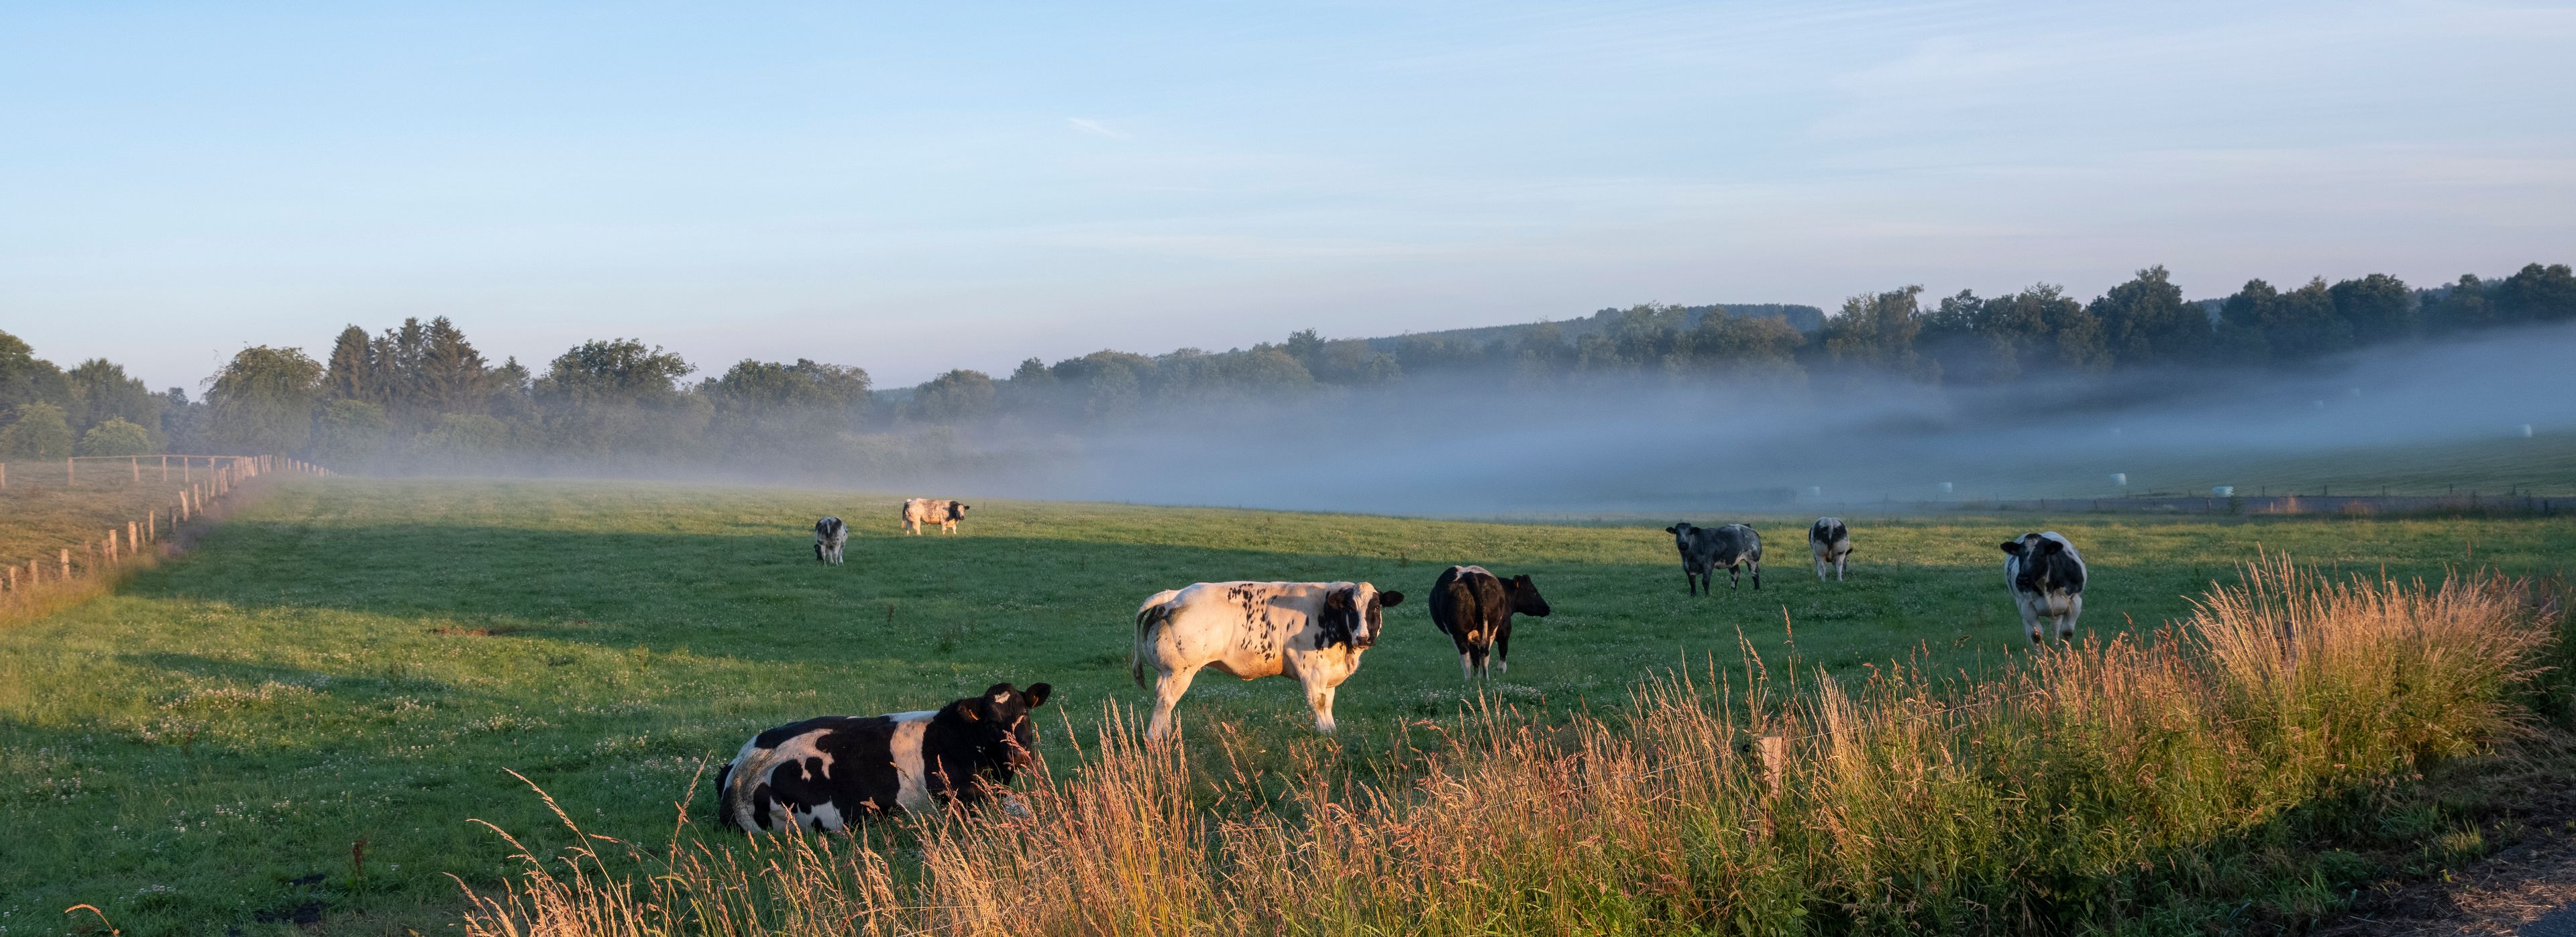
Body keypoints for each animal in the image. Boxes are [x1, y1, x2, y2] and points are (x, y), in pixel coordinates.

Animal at [715, 681, 1053, 833]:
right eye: (992, 722)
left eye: (1024, 714)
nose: (1020, 755)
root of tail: (739, 772)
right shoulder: (963, 802)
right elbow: (1022, 809)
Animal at [1131, 581, 1403, 740]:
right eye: (1350, 608)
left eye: (1376, 607)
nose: (1364, 637)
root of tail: (1174, 596)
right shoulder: (1312, 672)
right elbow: (1318, 705)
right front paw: (1326, 736)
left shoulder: (1328, 675)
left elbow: (1328, 705)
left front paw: (1333, 734)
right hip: (1181, 671)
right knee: (1166, 702)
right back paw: (1155, 740)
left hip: (1168, 671)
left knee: (1163, 701)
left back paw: (1166, 736)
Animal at [1428, 565, 1551, 680]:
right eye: (1533, 592)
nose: (1547, 608)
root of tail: (1469, 574)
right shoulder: (1505, 629)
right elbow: (1503, 649)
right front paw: (1502, 670)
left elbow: (1475, 657)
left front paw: (1477, 676)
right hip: (1481, 630)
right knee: (1479, 653)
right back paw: (1480, 679)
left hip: (1462, 632)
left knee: (1473, 654)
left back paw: (1475, 679)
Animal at [1665, 522, 1762, 595]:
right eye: (1677, 533)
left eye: (1689, 532)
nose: (1683, 544)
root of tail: (1747, 527)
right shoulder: (1687, 568)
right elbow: (1692, 582)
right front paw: (1693, 595)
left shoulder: (1708, 566)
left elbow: (1705, 581)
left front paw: (1707, 595)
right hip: (1732, 561)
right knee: (1736, 573)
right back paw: (1733, 590)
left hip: (1753, 560)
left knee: (1755, 574)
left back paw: (1757, 589)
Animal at [2000, 531, 2086, 644]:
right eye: (2020, 555)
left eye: (2040, 554)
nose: (2022, 579)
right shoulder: (2027, 605)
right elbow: (2035, 634)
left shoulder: (2075, 601)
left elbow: (2067, 632)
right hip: (2020, 603)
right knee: (2027, 626)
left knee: (2055, 626)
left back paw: (2056, 646)